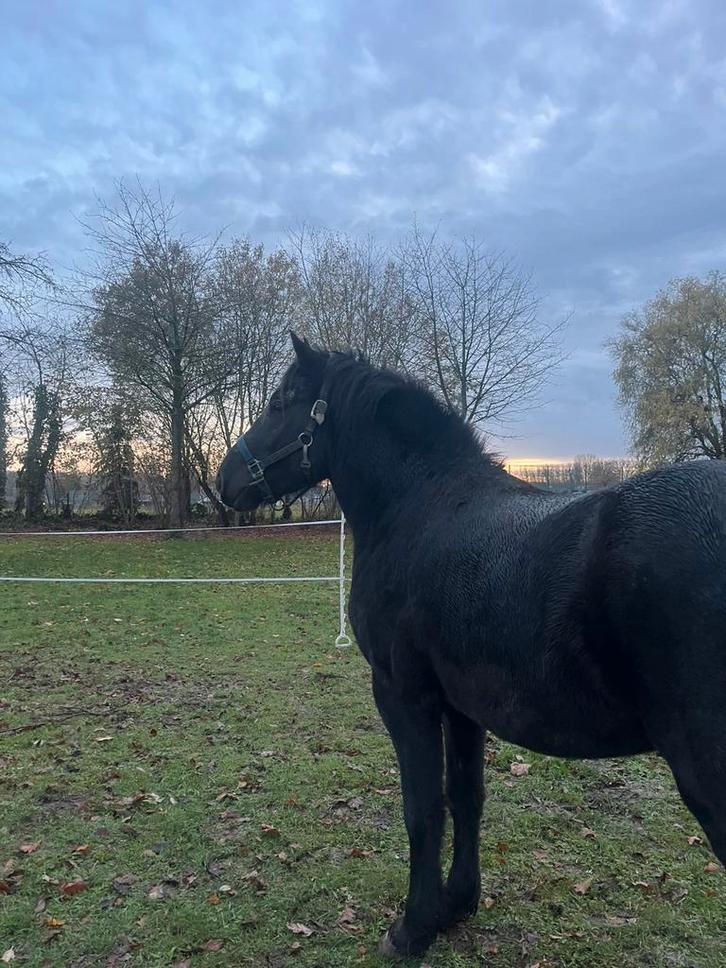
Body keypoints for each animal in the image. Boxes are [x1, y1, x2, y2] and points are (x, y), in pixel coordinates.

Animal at [217, 332, 726, 958]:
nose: (226, 480)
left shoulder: (403, 695)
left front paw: (412, 929)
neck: (418, 506)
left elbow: (422, 810)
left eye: (279, 402)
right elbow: (466, 797)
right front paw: (457, 905)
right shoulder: (462, 706)